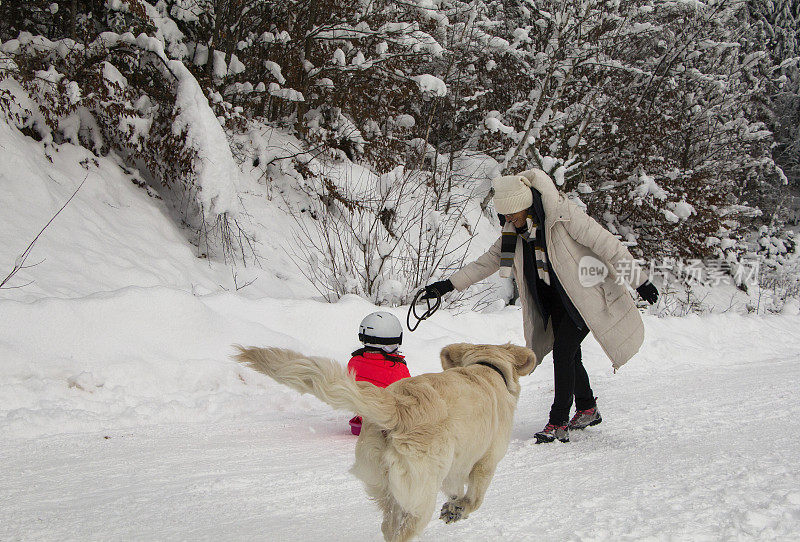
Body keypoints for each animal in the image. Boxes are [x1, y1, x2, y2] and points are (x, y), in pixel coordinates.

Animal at [234, 344, 540, 542]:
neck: (486, 368)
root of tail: (399, 404)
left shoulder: (456, 467)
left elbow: (456, 489)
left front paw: (453, 507)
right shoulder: (486, 462)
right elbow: (474, 499)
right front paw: (459, 509)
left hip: (387, 487)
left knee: (387, 527)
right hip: (420, 496)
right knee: (403, 532)